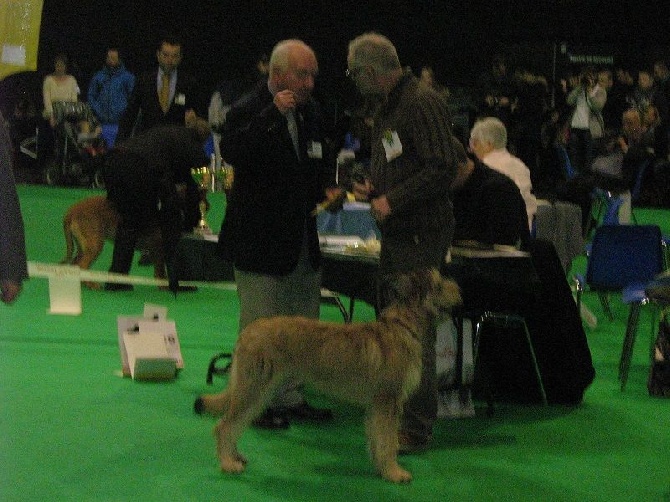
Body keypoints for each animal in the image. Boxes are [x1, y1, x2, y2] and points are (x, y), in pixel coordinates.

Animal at [196, 268, 462, 484]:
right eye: (439, 284)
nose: (460, 291)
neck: (402, 325)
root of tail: (248, 331)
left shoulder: (376, 406)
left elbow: (377, 438)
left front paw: (381, 467)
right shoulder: (388, 400)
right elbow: (388, 441)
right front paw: (394, 472)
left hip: (259, 389)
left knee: (236, 422)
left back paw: (234, 455)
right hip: (254, 387)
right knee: (224, 426)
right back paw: (228, 463)